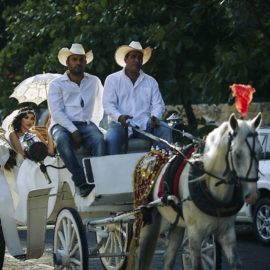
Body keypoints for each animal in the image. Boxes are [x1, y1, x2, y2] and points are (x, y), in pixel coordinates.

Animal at [127, 113, 262, 270]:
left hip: (176, 224)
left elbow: (236, 263)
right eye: (237, 154)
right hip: (145, 219)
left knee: (168, 258)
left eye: (260, 152)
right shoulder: (195, 234)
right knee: (139, 254)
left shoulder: (227, 232)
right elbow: (196, 265)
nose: (252, 196)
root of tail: (148, 155)